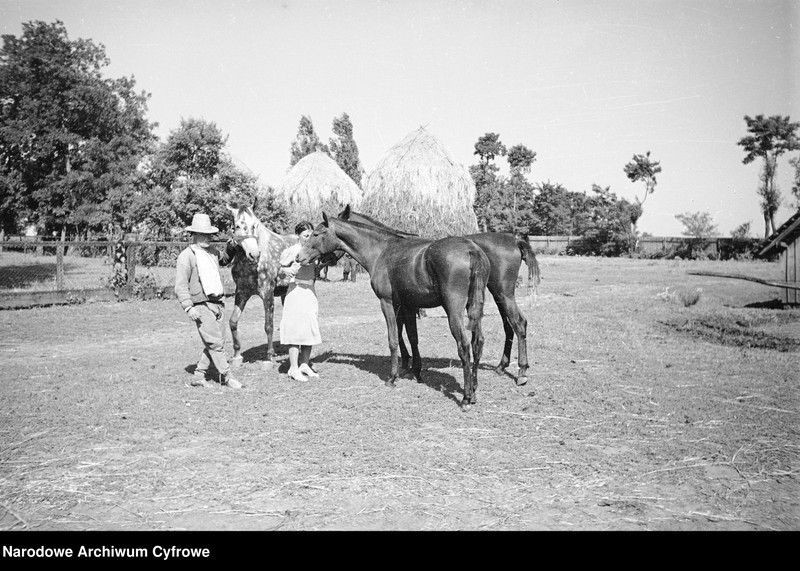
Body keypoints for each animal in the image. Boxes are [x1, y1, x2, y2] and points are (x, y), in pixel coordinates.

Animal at [227, 204, 298, 366]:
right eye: (237, 226)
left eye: (255, 225)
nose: (254, 254)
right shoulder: (241, 293)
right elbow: (233, 322)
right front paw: (237, 355)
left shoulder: (267, 293)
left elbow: (268, 325)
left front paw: (269, 356)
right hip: (286, 292)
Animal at [296, 210, 490, 412]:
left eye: (316, 234)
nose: (299, 257)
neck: (381, 250)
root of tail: (471, 250)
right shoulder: (408, 305)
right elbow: (412, 337)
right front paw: (416, 372)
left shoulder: (388, 303)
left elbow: (394, 339)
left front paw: (393, 377)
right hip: (475, 308)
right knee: (478, 342)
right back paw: (473, 392)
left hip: (453, 311)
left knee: (464, 346)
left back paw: (466, 398)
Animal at [334, 208, 540, 386]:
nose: (333, 258)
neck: (389, 249)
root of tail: (514, 240)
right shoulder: (406, 304)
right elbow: (406, 333)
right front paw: (409, 365)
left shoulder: (398, 303)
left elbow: (399, 333)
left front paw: (404, 365)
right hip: (496, 294)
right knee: (508, 326)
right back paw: (502, 366)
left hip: (502, 293)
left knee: (518, 323)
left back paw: (521, 371)